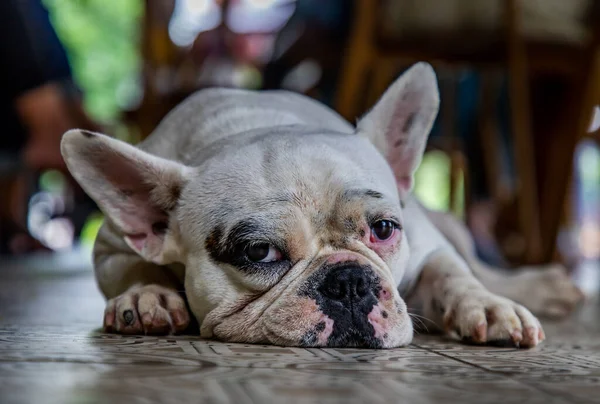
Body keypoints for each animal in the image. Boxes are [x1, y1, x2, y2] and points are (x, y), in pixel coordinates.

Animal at [61, 63, 580, 348]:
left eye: (385, 229)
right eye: (258, 253)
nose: (348, 281)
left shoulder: (427, 242)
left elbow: (452, 273)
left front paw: (487, 307)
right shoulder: (112, 242)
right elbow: (129, 267)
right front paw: (146, 296)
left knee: (479, 266)